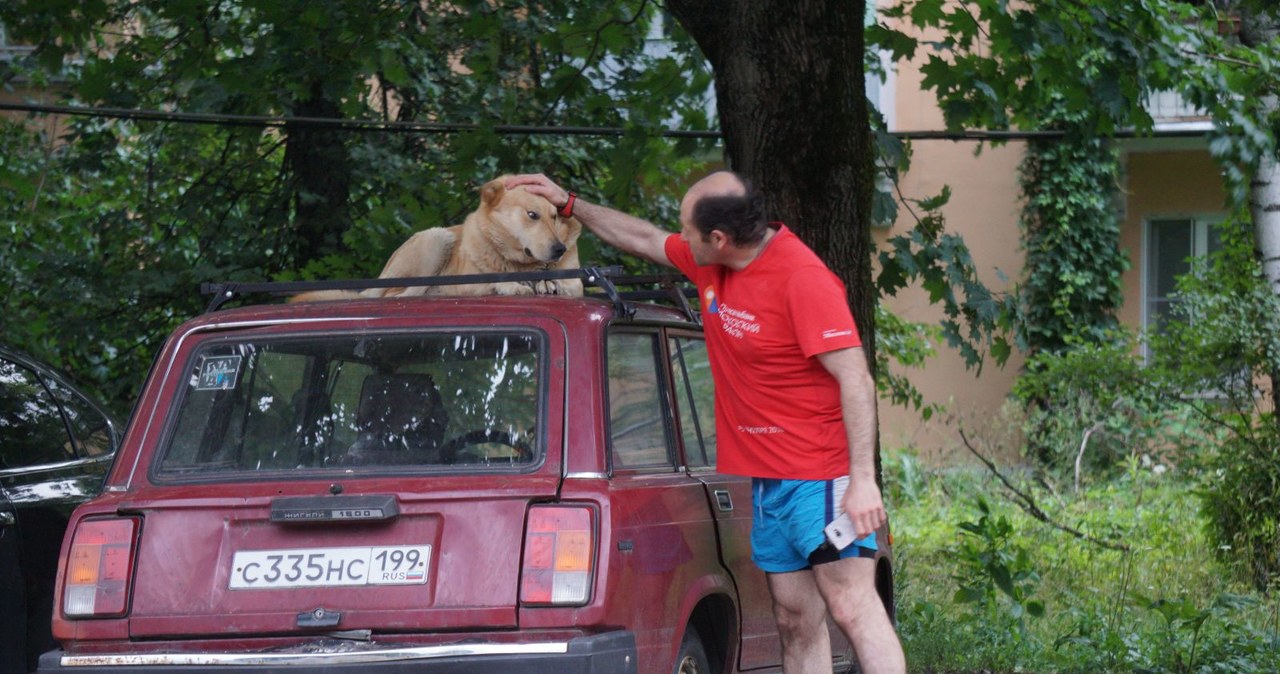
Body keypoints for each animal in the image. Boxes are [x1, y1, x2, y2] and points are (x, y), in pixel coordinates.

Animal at [293, 176, 583, 300]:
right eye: (532, 215)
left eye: (554, 216)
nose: (559, 249)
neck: (521, 263)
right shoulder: (467, 281)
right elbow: (491, 281)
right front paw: (513, 285)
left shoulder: (576, 283)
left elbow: (564, 284)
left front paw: (546, 282)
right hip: (436, 239)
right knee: (400, 294)